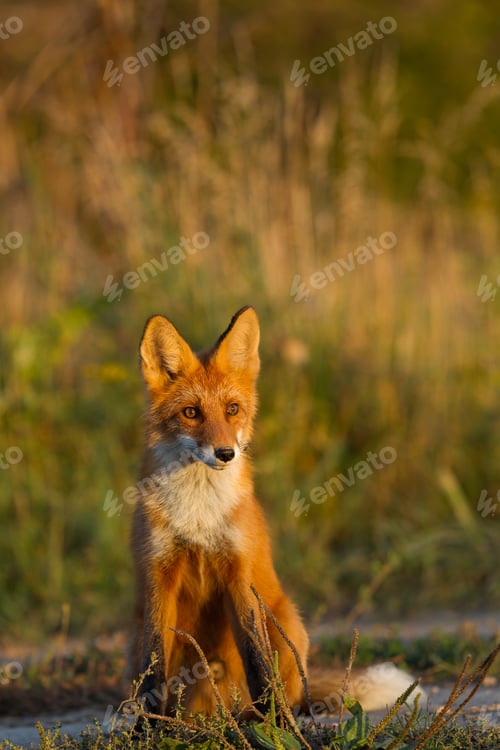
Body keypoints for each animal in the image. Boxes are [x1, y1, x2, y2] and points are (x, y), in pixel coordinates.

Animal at [128, 305, 424, 718]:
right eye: (190, 413)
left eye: (232, 410)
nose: (225, 453)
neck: (199, 515)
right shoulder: (159, 573)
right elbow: (153, 668)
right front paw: (147, 726)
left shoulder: (239, 572)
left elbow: (257, 660)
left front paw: (276, 724)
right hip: (134, 637)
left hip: (287, 622)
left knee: (290, 690)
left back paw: (266, 714)